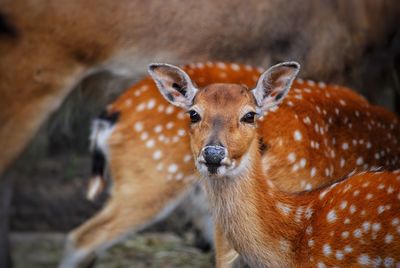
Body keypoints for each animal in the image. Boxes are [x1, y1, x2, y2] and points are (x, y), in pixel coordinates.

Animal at [59, 61, 400, 266]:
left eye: (250, 115)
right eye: (193, 113)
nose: (213, 154)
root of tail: (110, 114)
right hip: (149, 180)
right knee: (81, 237)